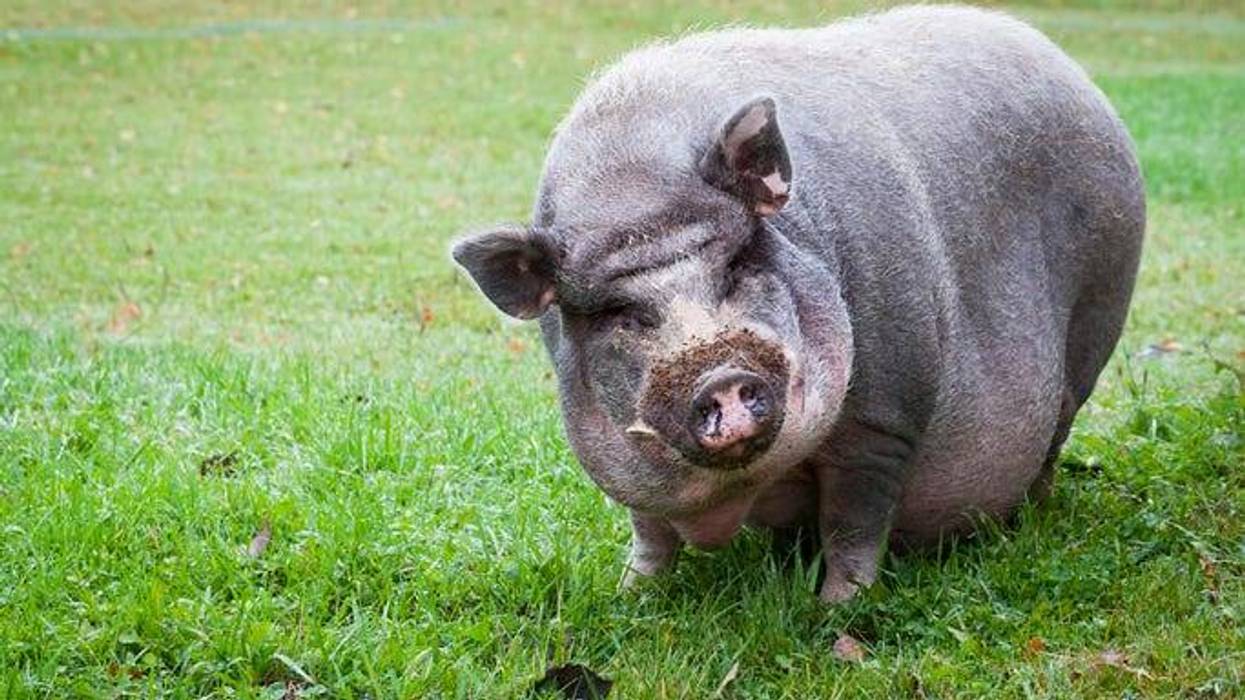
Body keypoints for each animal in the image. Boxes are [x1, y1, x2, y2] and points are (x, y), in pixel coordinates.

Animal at [452, 4, 1144, 602]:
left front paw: (839, 610)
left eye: (738, 263)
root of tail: (1065, 65)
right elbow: (648, 530)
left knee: (1056, 431)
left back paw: (1025, 520)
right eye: (620, 313)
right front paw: (631, 595)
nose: (720, 375)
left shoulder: (884, 416)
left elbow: (854, 522)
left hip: (1098, 316)